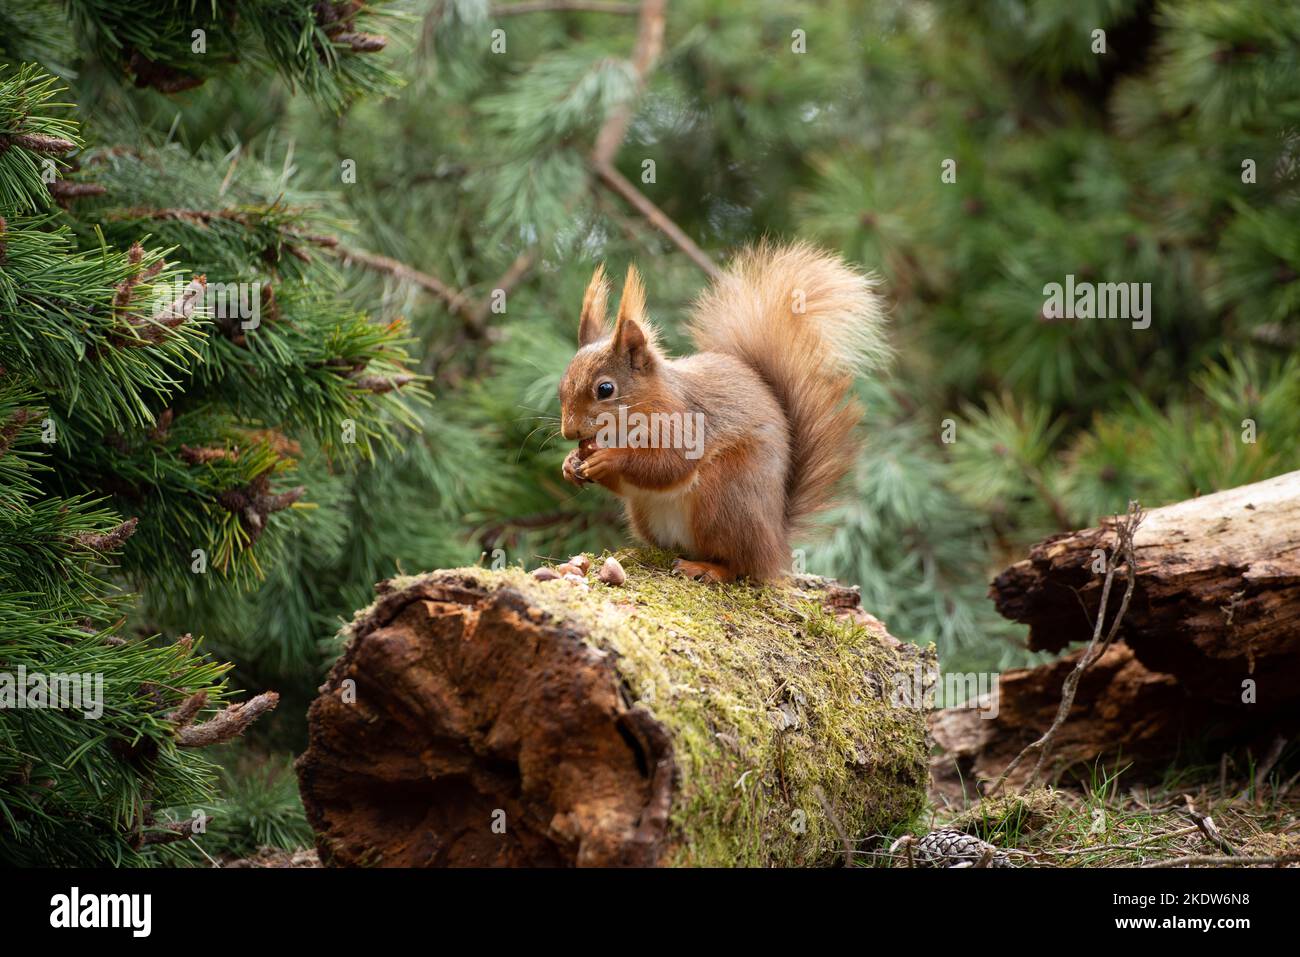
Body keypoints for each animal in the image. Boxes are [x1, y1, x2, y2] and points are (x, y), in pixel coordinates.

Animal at [559, 239, 883, 582]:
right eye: (562, 385)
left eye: (605, 389)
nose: (569, 432)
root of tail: (776, 544)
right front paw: (570, 462)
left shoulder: (686, 423)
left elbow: (668, 465)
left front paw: (610, 458)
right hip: (647, 512)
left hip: (724, 497)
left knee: (740, 565)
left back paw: (706, 567)